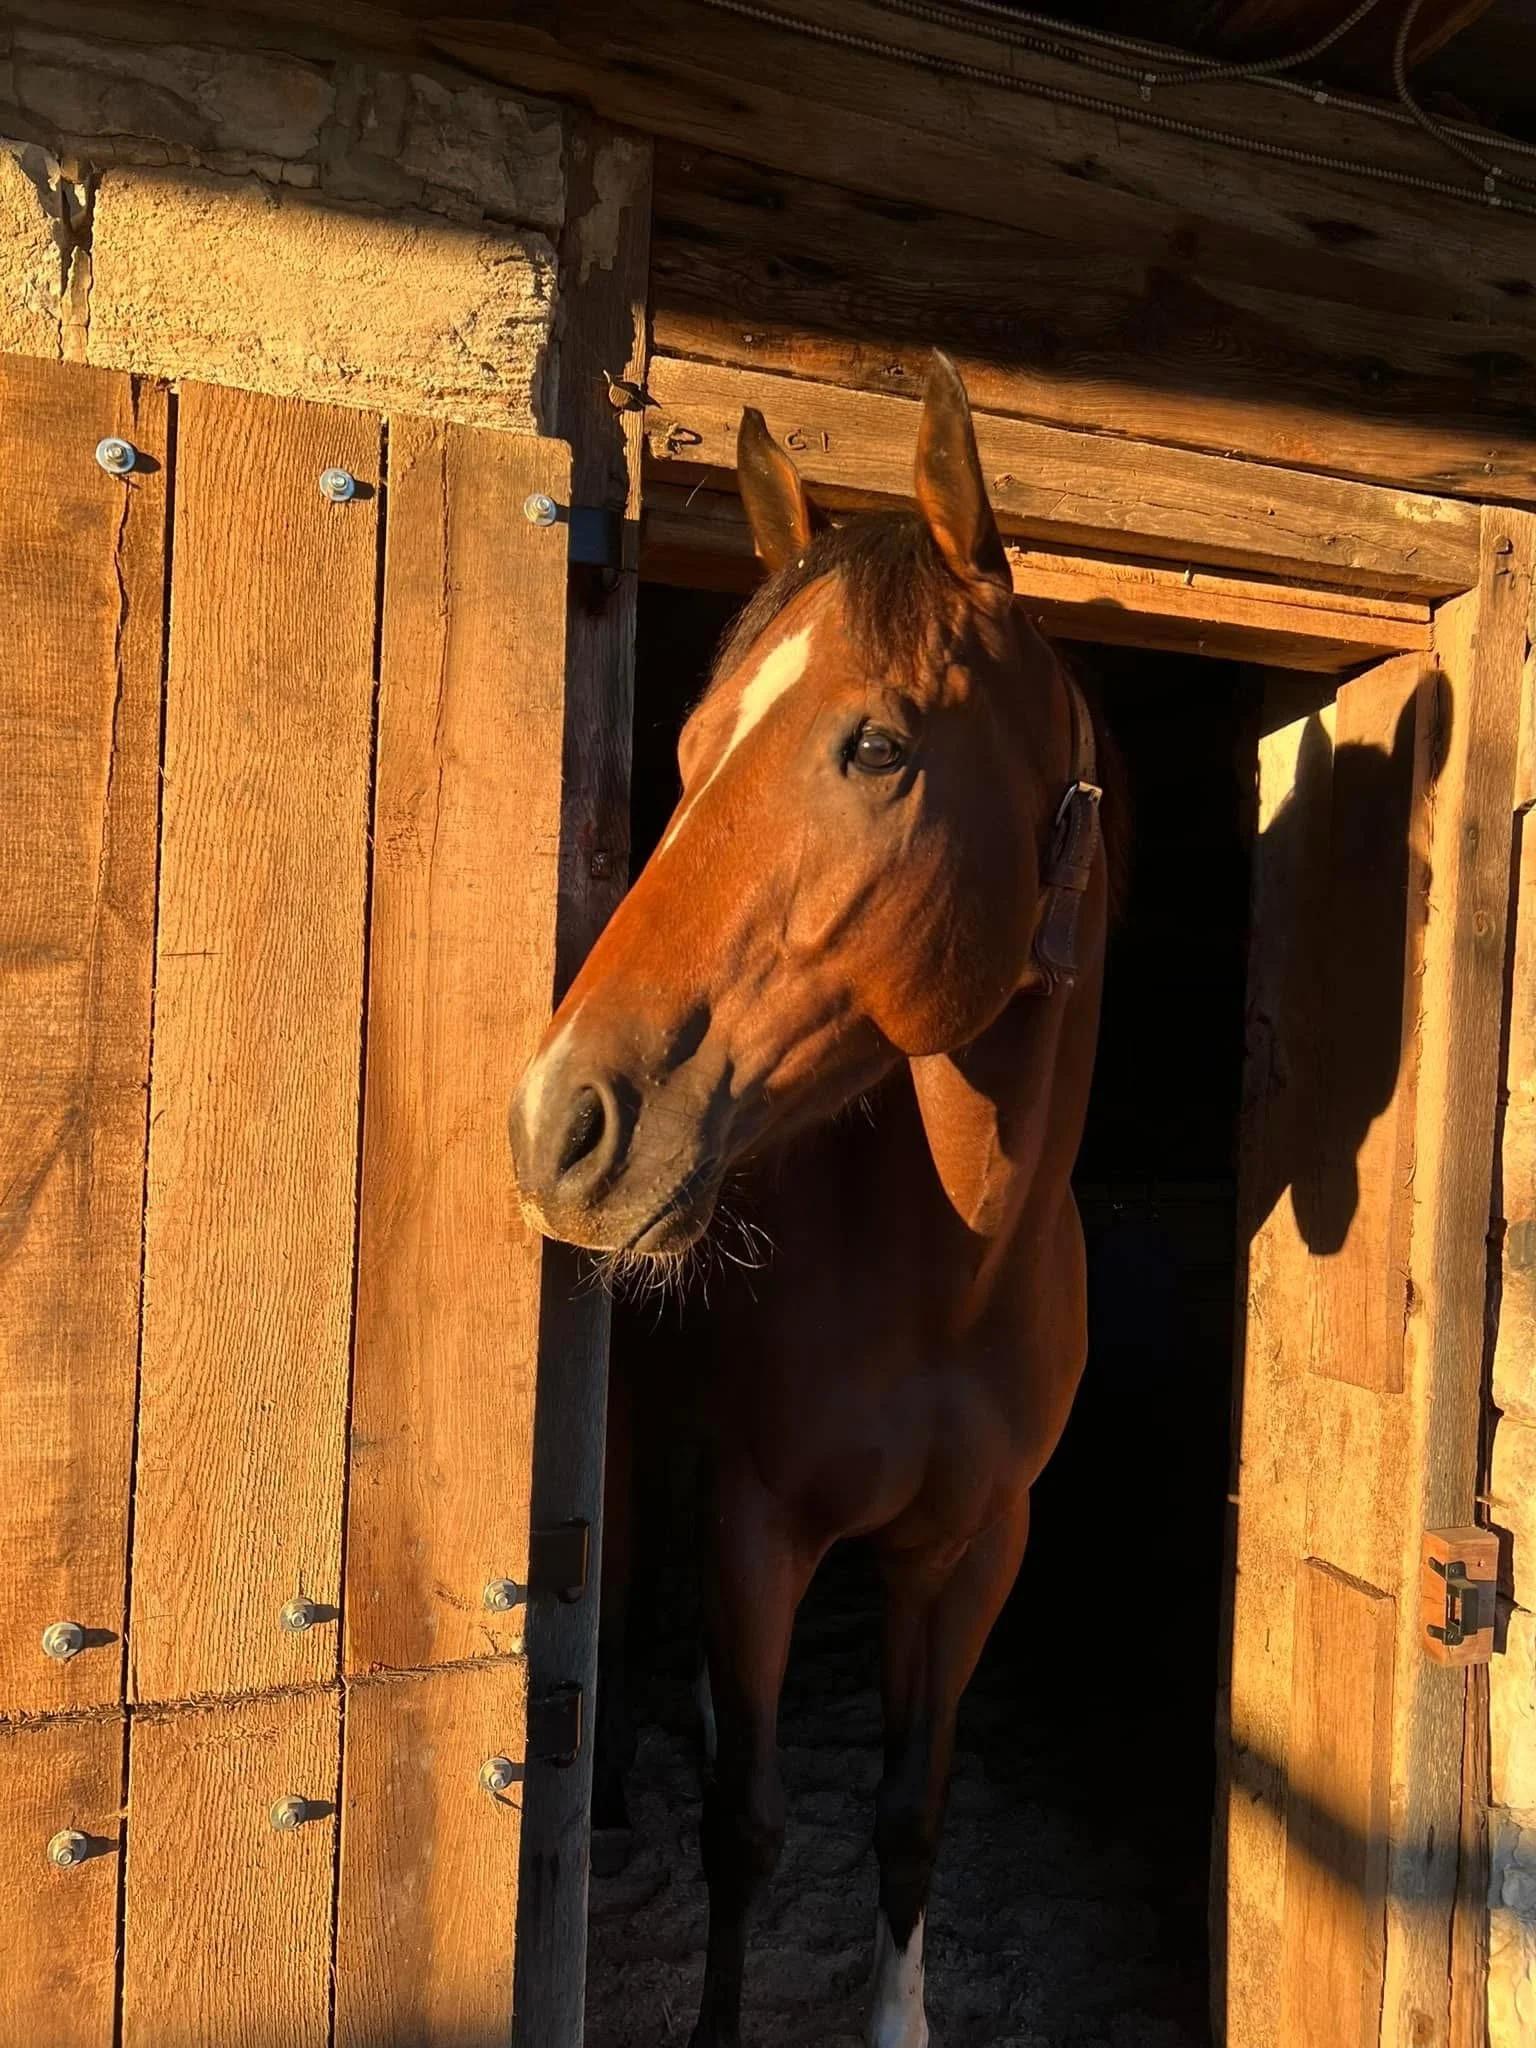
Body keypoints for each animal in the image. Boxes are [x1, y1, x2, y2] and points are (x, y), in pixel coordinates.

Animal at [509, 351, 1114, 2048]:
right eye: (689, 750)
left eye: (878, 749)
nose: (560, 1119)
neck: (950, 1281)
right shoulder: (761, 1526)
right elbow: (748, 1825)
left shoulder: (971, 1557)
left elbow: (910, 1814)